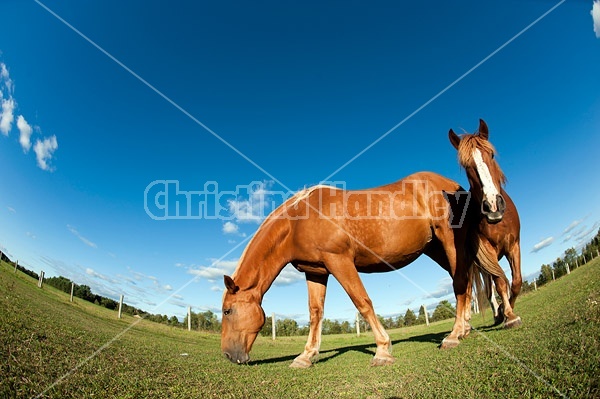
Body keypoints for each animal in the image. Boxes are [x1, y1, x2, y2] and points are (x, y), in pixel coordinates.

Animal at [221, 172, 478, 368]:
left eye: (227, 311)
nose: (227, 355)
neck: (298, 221)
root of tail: (451, 184)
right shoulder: (316, 271)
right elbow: (315, 313)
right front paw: (306, 356)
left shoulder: (340, 262)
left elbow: (362, 302)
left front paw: (383, 350)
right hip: (435, 249)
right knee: (465, 280)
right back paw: (465, 328)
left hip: (449, 241)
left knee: (459, 281)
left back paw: (453, 336)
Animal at [448, 119, 524, 332]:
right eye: (466, 165)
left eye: (491, 155)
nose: (493, 206)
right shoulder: (487, 251)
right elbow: (500, 283)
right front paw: (507, 315)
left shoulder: (514, 245)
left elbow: (516, 281)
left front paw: (508, 310)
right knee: (487, 288)